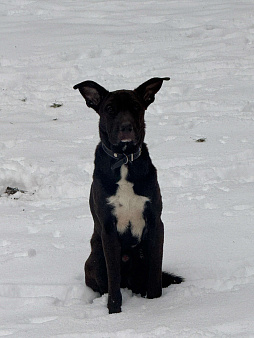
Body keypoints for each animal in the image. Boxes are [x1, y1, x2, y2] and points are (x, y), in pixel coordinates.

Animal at [73, 78, 183, 312]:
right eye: (109, 109)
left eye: (135, 107)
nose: (126, 127)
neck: (124, 160)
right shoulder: (108, 229)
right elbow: (113, 279)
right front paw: (114, 311)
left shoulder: (155, 223)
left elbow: (154, 276)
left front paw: (155, 305)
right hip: (95, 259)